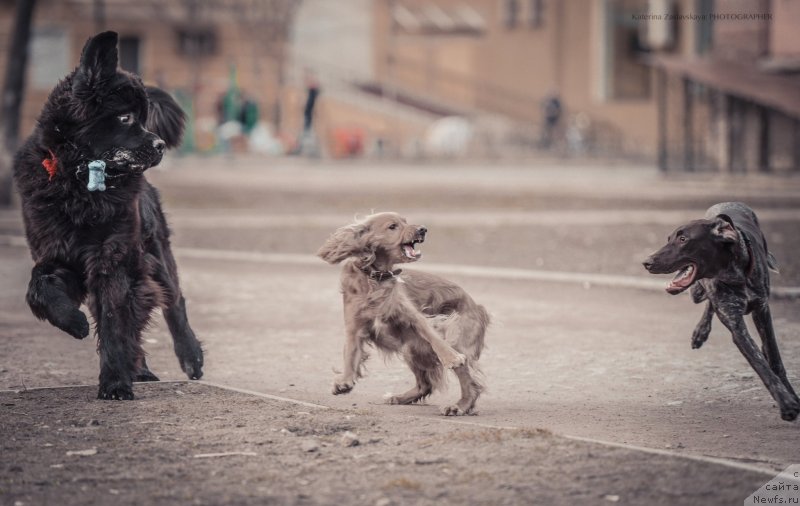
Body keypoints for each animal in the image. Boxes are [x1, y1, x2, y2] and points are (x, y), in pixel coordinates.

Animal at [13, 30, 203, 400]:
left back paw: (190, 357)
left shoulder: (113, 258)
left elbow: (116, 320)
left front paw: (115, 382)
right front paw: (73, 322)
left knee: (174, 302)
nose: (159, 146)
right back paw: (139, 367)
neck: (79, 184)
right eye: (126, 118)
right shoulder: (58, 253)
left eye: (142, 118)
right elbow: (38, 286)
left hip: (156, 256)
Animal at [318, 213, 488, 416]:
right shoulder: (354, 326)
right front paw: (344, 382)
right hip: (410, 348)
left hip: (454, 337)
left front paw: (451, 357)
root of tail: (477, 307)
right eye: (393, 226)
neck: (375, 279)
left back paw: (459, 406)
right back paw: (400, 397)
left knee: (470, 383)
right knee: (425, 384)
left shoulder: (414, 316)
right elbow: (350, 353)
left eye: (406, 221)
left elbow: (434, 337)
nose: (423, 229)